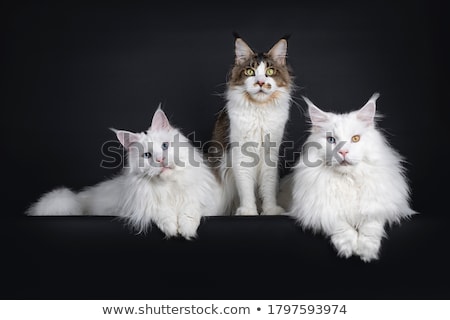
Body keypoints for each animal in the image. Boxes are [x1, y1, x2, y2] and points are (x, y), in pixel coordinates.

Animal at [27, 108, 225, 240]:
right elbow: (162, 212)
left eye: (165, 146)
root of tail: (84, 196)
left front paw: (186, 230)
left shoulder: (197, 198)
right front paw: (171, 229)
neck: (168, 187)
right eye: (147, 155)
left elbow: (189, 210)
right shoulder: (143, 204)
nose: (160, 160)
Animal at [211, 33, 296, 216]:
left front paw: (270, 210)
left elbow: (268, 188)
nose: (261, 83)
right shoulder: (241, 154)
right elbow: (246, 187)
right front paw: (248, 210)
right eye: (250, 72)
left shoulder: (270, 154)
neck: (259, 112)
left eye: (270, 71)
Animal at [280, 94, 416, 262]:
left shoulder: (379, 205)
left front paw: (366, 251)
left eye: (355, 139)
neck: (347, 179)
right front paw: (347, 247)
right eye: (331, 140)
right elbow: (340, 226)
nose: (343, 152)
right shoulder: (320, 209)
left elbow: (371, 226)